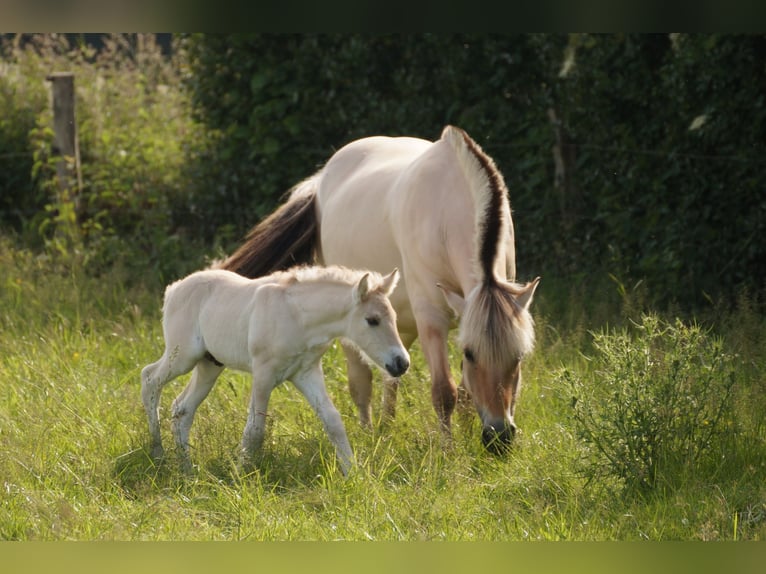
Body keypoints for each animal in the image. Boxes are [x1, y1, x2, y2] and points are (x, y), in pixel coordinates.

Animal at [142, 266, 412, 476]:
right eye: (372, 320)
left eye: (394, 317)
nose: (401, 363)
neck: (298, 316)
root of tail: (174, 289)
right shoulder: (264, 373)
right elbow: (255, 430)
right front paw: (239, 475)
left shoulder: (307, 373)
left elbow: (333, 421)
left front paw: (353, 473)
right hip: (182, 356)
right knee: (149, 379)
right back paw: (158, 453)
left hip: (209, 365)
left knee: (181, 408)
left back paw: (187, 468)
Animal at [222, 126, 540, 454]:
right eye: (470, 354)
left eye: (519, 356)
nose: (499, 437)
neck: (447, 208)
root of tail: (320, 181)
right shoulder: (432, 319)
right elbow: (445, 392)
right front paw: (449, 451)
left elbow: (465, 392)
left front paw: (466, 437)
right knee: (361, 380)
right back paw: (368, 431)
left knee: (392, 374)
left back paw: (387, 427)